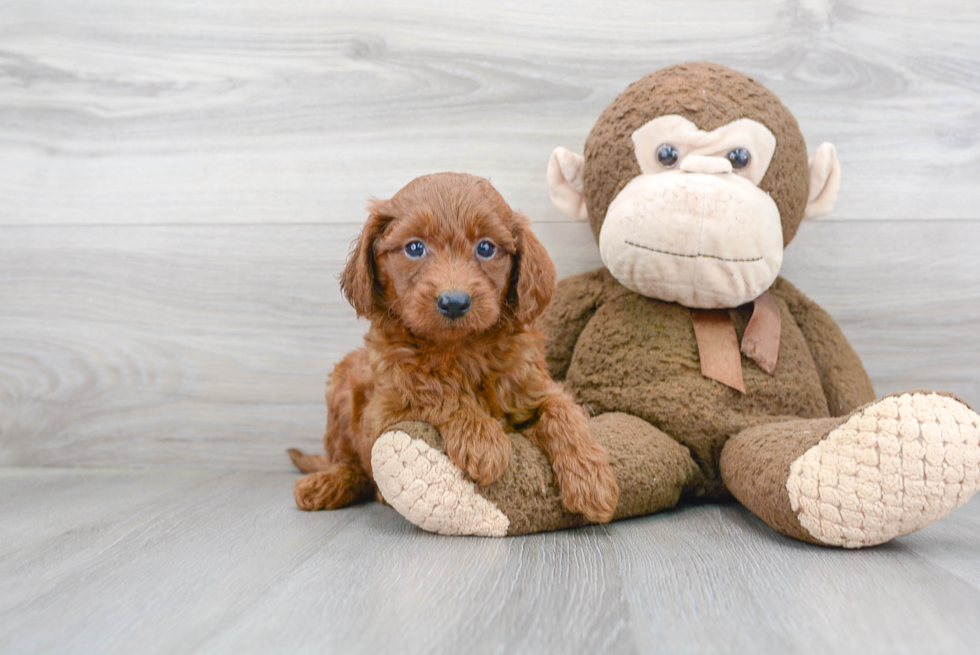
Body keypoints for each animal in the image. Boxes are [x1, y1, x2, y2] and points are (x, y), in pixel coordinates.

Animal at [288, 173, 616, 524]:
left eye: (486, 247)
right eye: (414, 248)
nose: (455, 302)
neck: (460, 349)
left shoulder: (532, 384)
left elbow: (561, 409)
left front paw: (591, 479)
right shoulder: (385, 405)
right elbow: (432, 388)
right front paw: (483, 441)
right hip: (341, 387)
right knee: (351, 465)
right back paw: (328, 484)